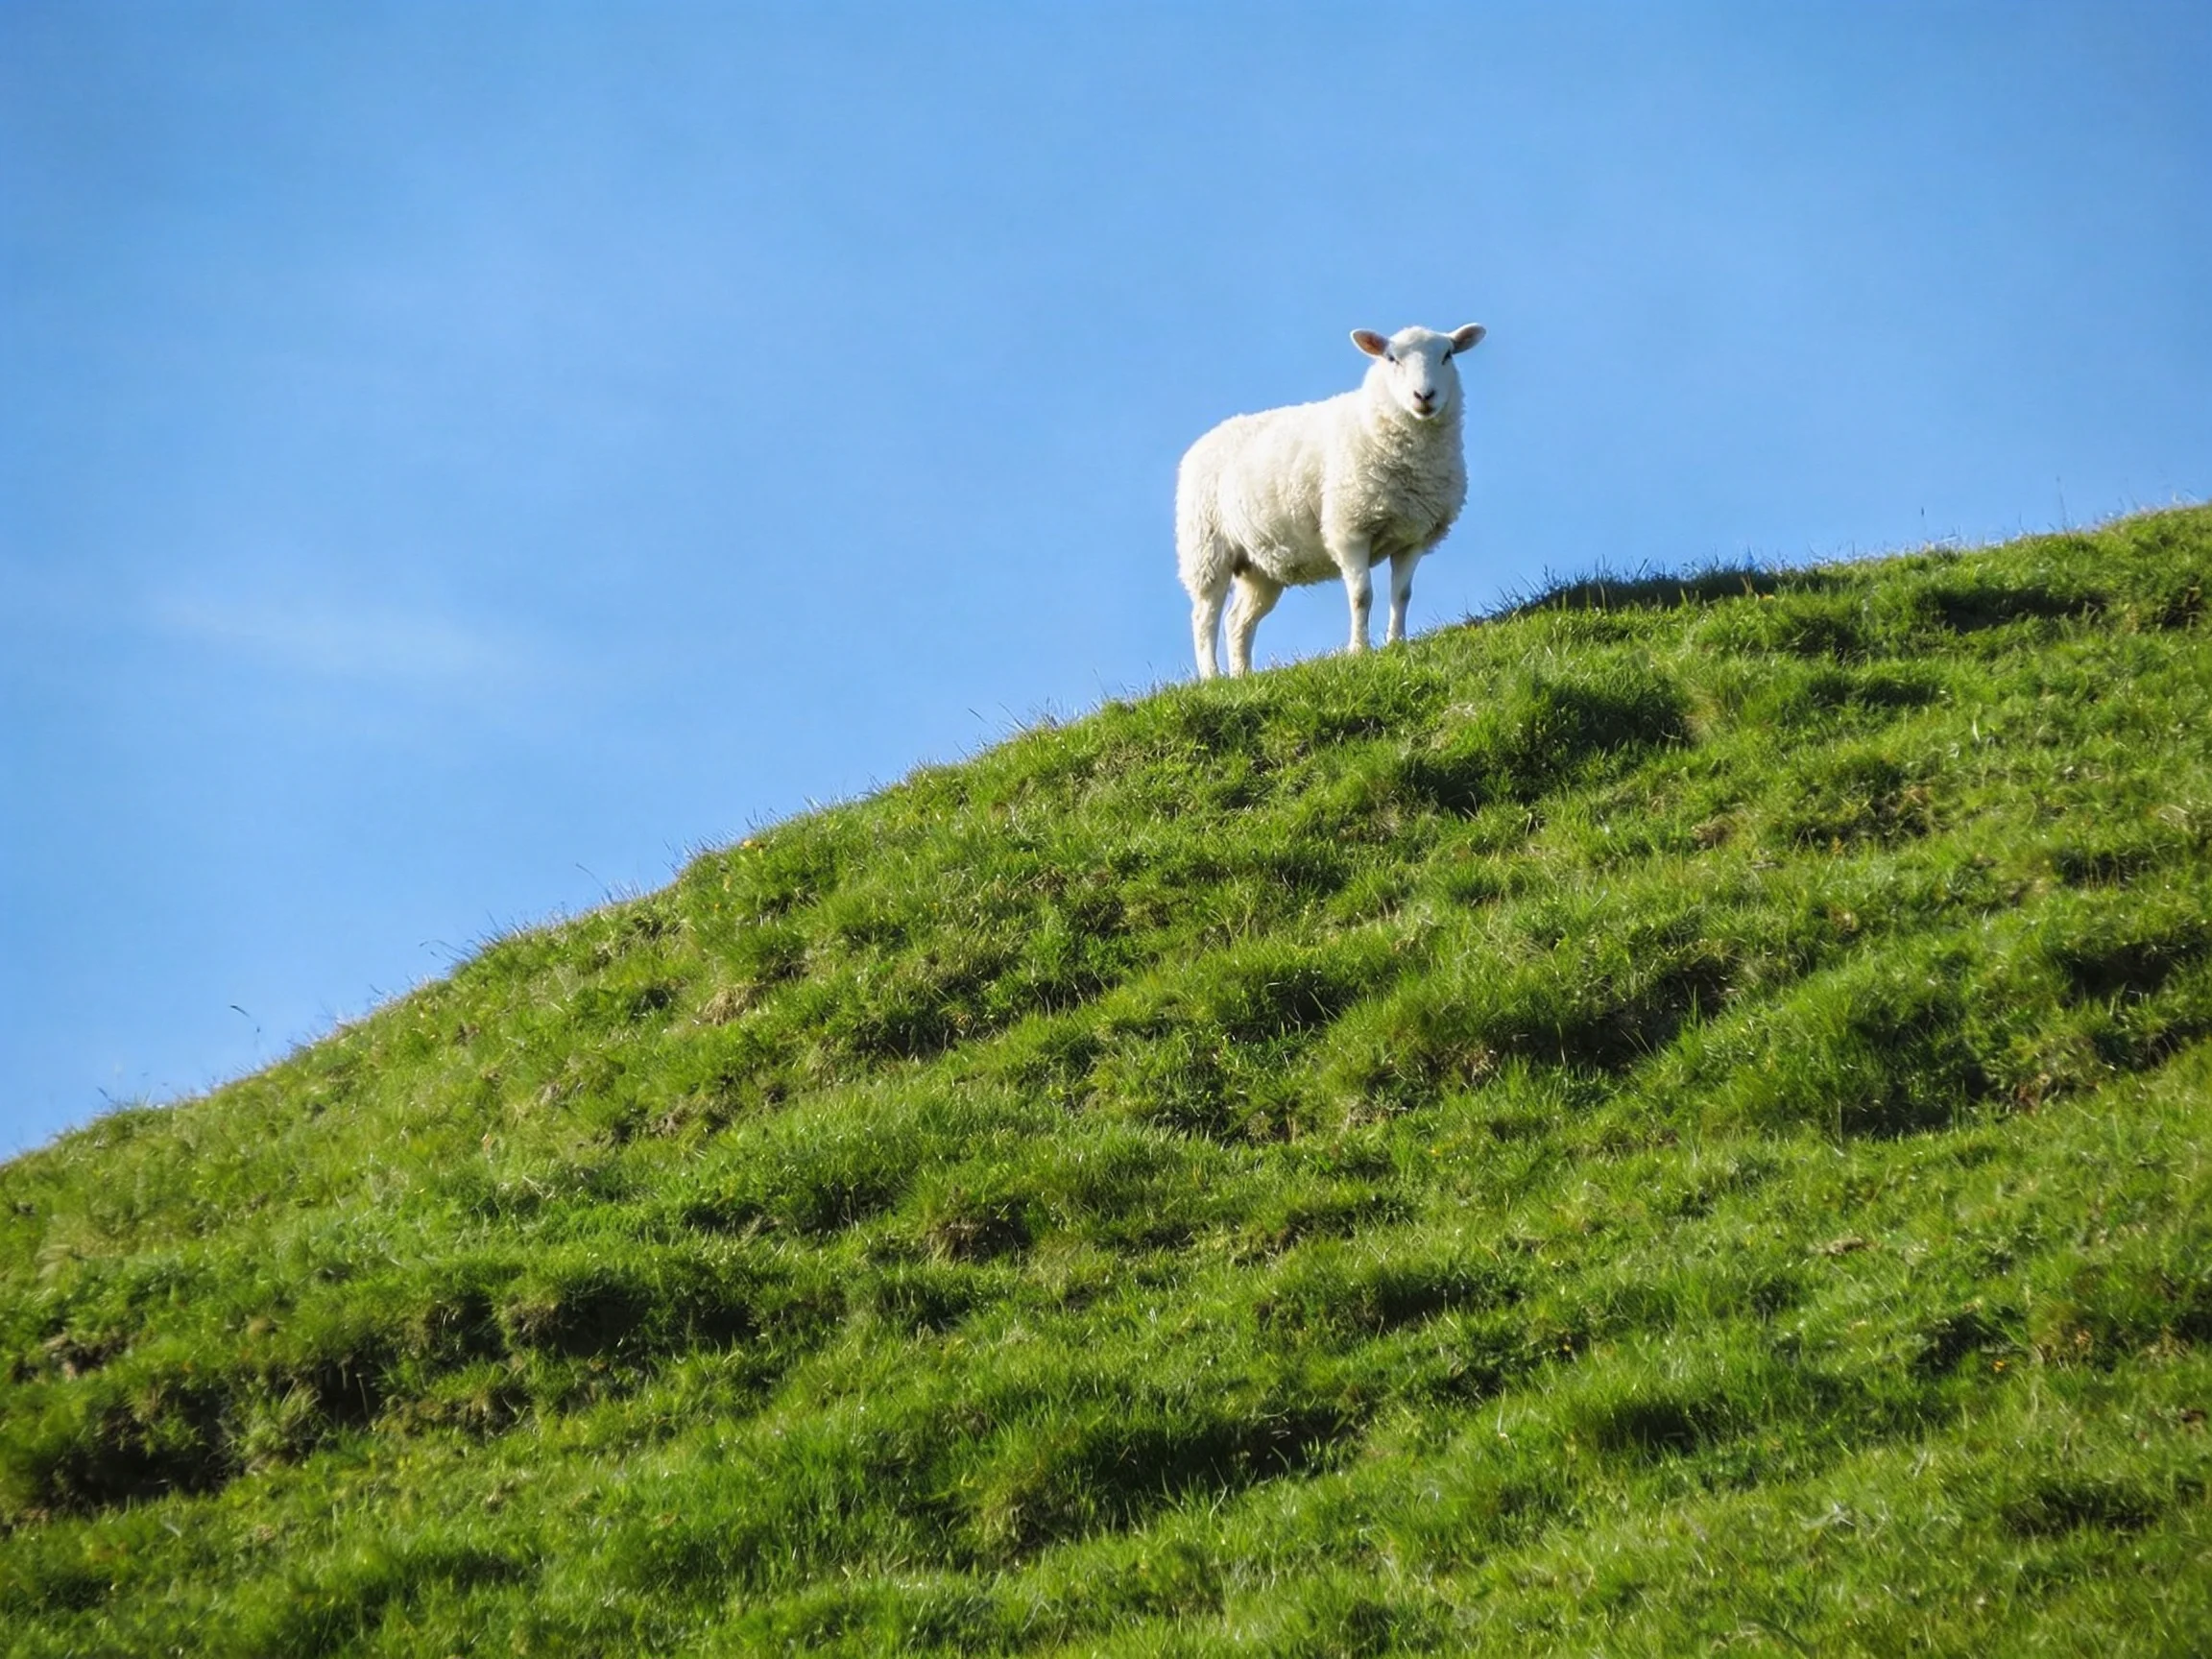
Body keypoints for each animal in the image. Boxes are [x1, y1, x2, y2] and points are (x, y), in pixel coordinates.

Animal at [1176, 323, 1485, 678]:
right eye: (1391, 358)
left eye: (1447, 355)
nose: (1424, 396)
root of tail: (1204, 440)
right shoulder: (1349, 530)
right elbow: (1362, 596)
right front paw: (1359, 650)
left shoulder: (1414, 536)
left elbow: (1402, 594)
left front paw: (1396, 644)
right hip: (1206, 550)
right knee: (1205, 618)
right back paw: (1212, 677)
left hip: (1259, 566)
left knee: (1237, 621)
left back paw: (1242, 677)